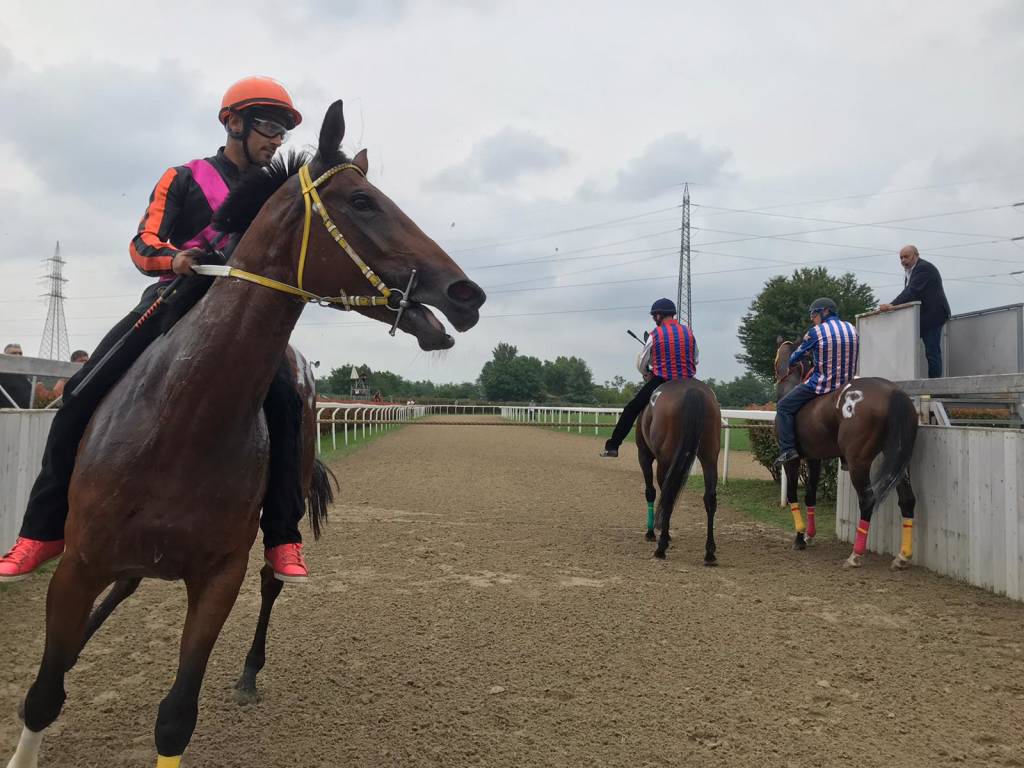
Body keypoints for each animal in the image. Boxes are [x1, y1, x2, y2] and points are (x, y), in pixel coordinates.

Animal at [7, 102, 487, 768]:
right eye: (363, 201)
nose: (466, 293)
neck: (181, 421)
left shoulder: (219, 577)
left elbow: (175, 718)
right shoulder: (79, 563)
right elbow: (43, 693)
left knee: (270, 578)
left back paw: (250, 671)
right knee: (118, 590)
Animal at [634, 382, 724, 561]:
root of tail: (694, 391)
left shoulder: (644, 455)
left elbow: (651, 492)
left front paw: (652, 533)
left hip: (665, 460)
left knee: (668, 494)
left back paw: (661, 548)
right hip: (710, 457)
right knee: (710, 498)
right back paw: (710, 552)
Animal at [774, 339, 921, 569]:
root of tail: (892, 392)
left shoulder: (793, 460)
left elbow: (791, 495)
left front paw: (799, 537)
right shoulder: (814, 458)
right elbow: (810, 495)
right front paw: (809, 535)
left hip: (858, 462)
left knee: (867, 499)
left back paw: (855, 555)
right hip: (898, 460)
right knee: (907, 500)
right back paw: (902, 556)